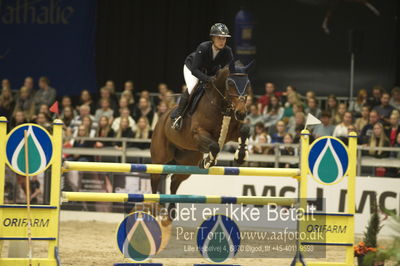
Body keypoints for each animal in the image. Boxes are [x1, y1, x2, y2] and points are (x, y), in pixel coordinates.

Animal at [148, 61, 252, 217]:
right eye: (230, 83)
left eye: (248, 83)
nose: (241, 113)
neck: (220, 103)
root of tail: (162, 117)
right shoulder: (198, 133)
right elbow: (214, 146)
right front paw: (209, 161)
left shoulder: (231, 133)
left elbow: (244, 130)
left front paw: (240, 156)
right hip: (160, 158)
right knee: (155, 178)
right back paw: (154, 205)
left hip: (187, 160)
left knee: (175, 180)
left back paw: (171, 210)